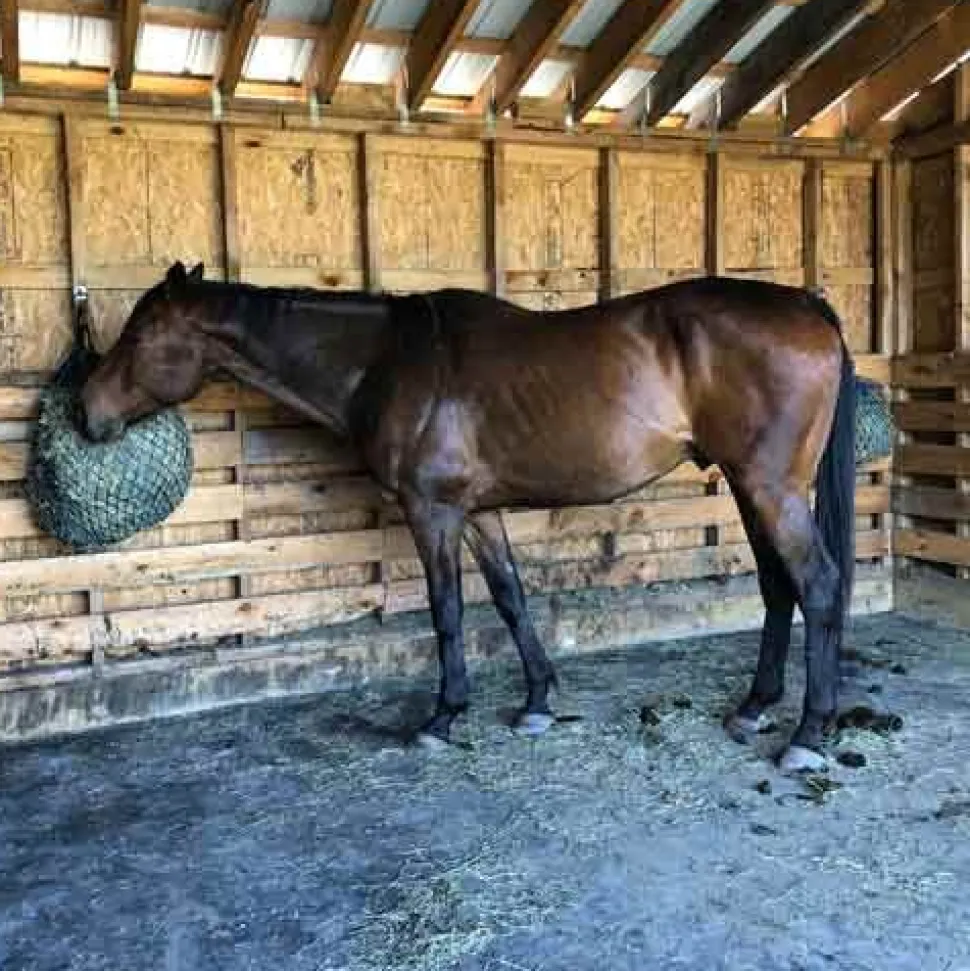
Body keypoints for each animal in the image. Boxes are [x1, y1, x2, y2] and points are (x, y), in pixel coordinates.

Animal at [80, 261, 855, 774]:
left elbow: (447, 610)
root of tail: (805, 305)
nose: (88, 414)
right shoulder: (479, 514)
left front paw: (443, 714)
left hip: (770, 487)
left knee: (816, 584)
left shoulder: (433, 512)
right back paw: (755, 706)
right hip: (751, 486)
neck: (387, 361)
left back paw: (807, 735)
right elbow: (510, 599)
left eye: (140, 337)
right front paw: (537, 701)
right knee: (779, 587)